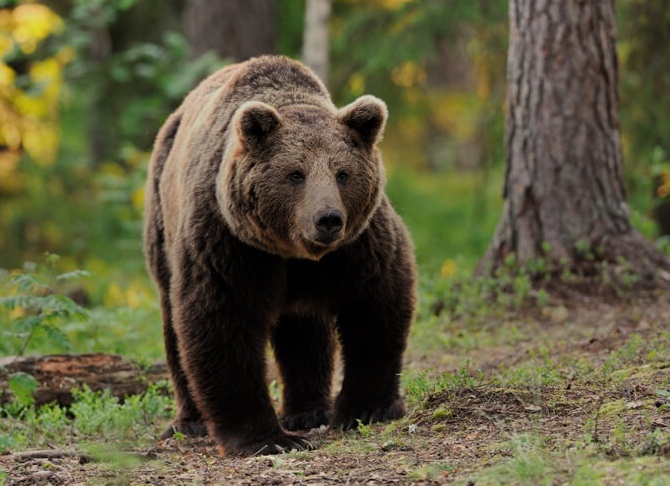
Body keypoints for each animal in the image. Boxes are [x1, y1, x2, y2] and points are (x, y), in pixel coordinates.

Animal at [143, 55, 417, 457]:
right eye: (295, 174)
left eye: (342, 173)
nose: (328, 219)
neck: (291, 250)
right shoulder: (229, 242)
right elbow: (222, 322)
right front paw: (265, 437)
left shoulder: (358, 244)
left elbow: (374, 305)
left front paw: (367, 408)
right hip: (163, 224)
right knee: (174, 326)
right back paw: (191, 421)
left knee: (304, 329)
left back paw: (309, 410)